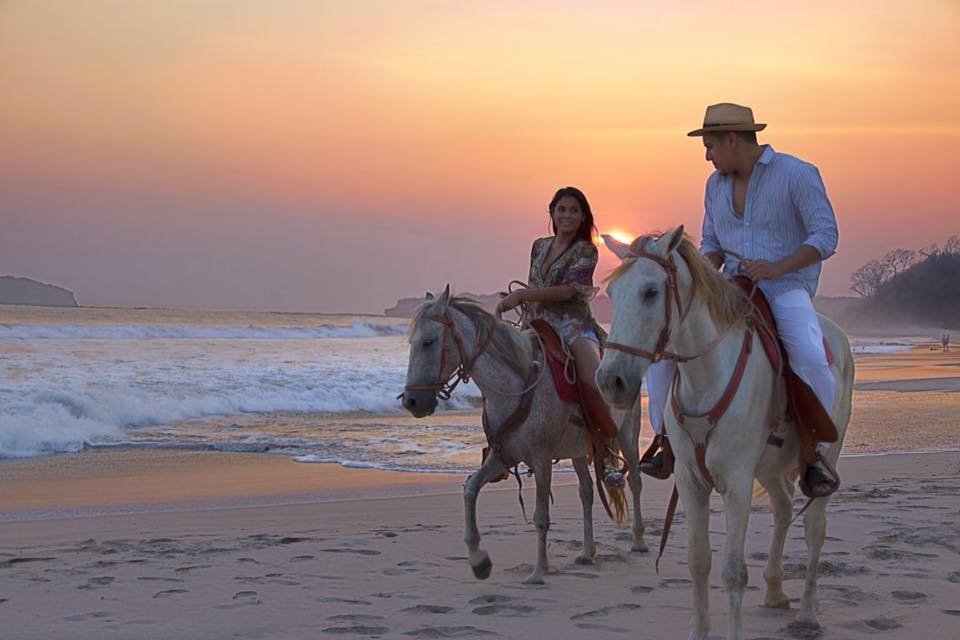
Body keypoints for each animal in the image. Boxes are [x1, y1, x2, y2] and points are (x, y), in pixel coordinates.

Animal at [401, 285, 646, 585]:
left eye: (428, 342)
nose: (412, 401)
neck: (514, 386)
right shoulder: (501, 455)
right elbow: (470, 490)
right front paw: (479, 560)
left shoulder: (541, 460)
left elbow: (541, 515)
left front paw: (539, 570)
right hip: (578, 450)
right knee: (587, 491)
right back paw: (587, 552)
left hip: (627, 436)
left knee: (634, 481)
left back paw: (638, 541)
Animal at [595, 228, 854, 640]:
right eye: (613, 293)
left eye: (651, 291)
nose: (611, 382)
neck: (707, 377)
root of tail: (839, 337)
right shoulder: (691, 481)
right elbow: (699, 560)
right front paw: (698, 630)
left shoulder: (737, 482)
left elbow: (733, 571)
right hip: (769, 467)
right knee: (783, 508)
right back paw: (775, 590)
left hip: (827, 451)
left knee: (815, 526)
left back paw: (808, 615)